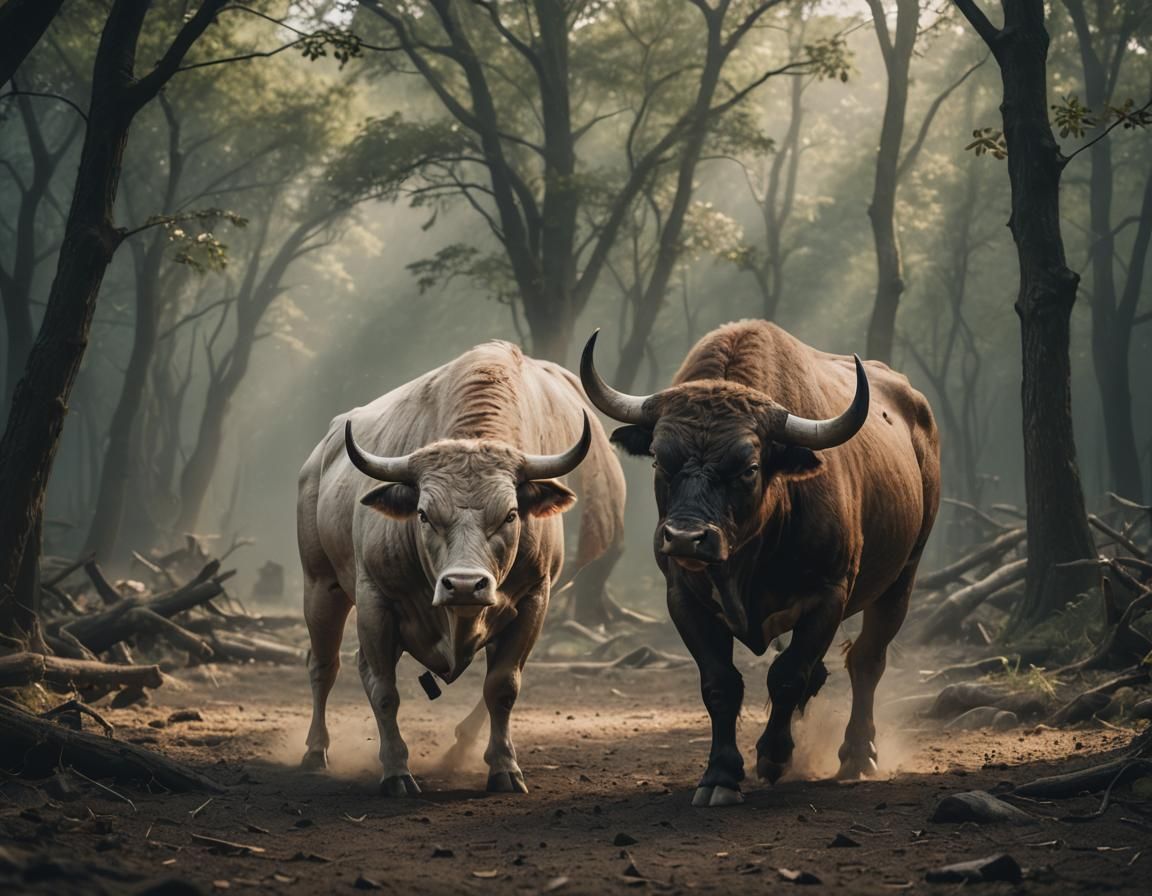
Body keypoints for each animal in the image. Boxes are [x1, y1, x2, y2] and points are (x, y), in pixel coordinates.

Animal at [297, 340, 625, 796]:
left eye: (510, 514)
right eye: (423, 514)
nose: (465, 586)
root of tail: (319, 458)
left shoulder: (534, 600)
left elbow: (502, 686)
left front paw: (504, 767)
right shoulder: (375, 599)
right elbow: (385, 690)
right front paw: (396, 771)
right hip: (320, 585)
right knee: (324, 666)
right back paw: (315, 752)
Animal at [579, 320, 939, 807]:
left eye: (748, 468)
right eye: (660, 460)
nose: (686, 538)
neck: (747, 560)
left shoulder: (828, 593)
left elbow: (787, 675)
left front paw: (773, 755)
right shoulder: (684, 597)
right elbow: (721, 684)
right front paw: (720, 774)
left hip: (904, 574)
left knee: (867, 660)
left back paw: (858, 753)